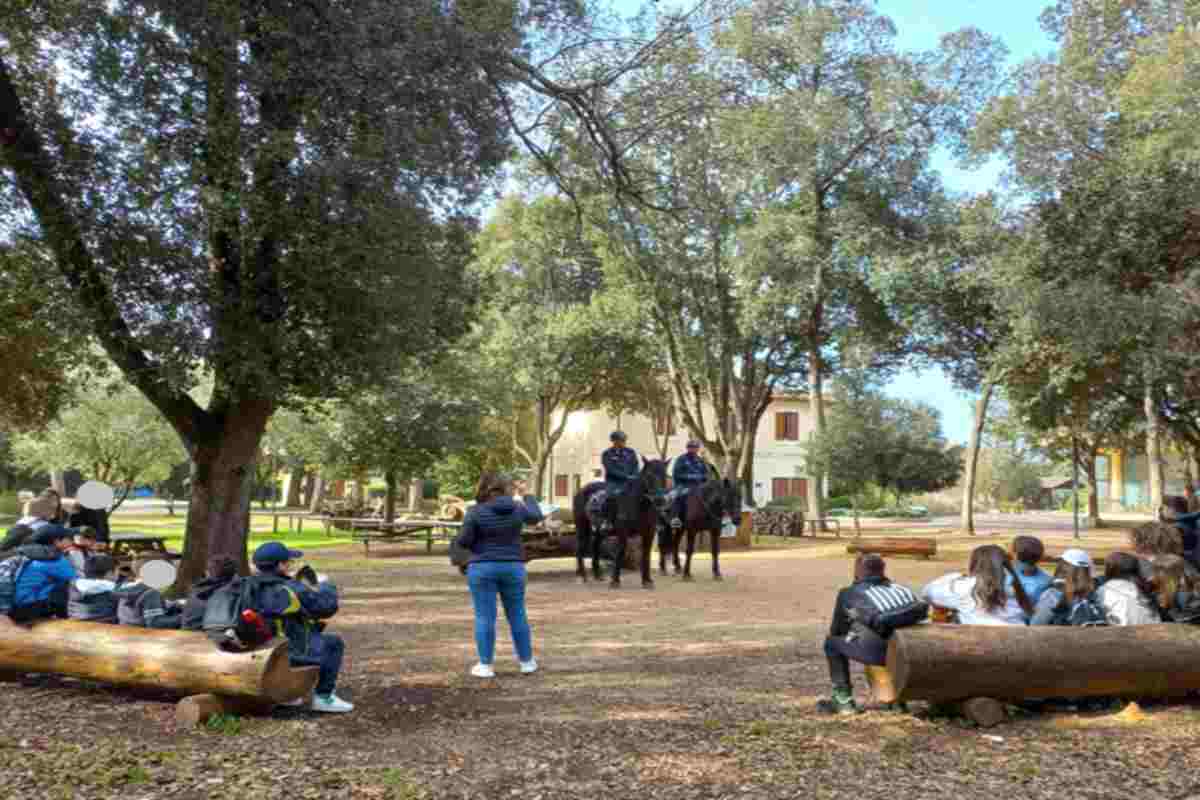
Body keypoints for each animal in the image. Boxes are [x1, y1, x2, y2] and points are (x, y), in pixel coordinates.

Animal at [573, 455, 672, 587]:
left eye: (664, 475)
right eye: (649, 475)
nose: (660, 500)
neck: (639, 505)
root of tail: (581, 490)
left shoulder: (649, 533)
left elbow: (646, 554)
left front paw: (647, 580)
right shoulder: (622, 532)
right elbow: (620, 552)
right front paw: (615, 580)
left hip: (600, 532)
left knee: (595, 547)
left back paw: (598, 575)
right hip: (582, 526)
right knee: (579, 549)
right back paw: (582, 576)